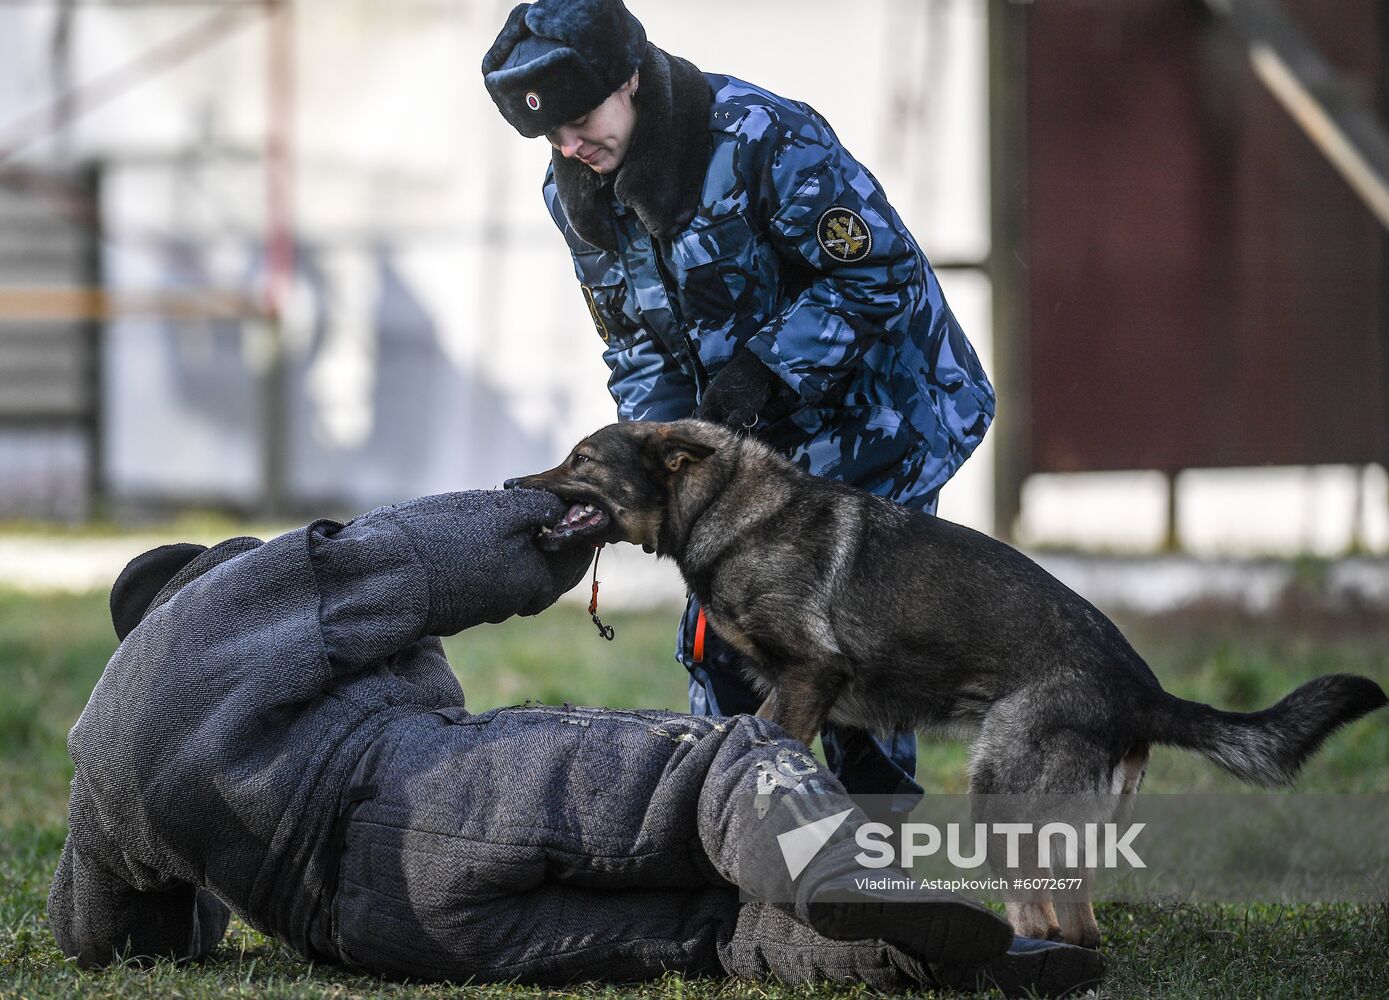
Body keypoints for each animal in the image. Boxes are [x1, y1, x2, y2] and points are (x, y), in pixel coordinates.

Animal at [505, 419, 1383, 944]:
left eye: (581, 461)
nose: (511, 488)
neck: (724, 508)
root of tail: (1142, 690)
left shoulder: (810, 674)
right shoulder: (804, 695)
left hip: (999, 789)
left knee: (1047, 915)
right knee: (1078, 917)